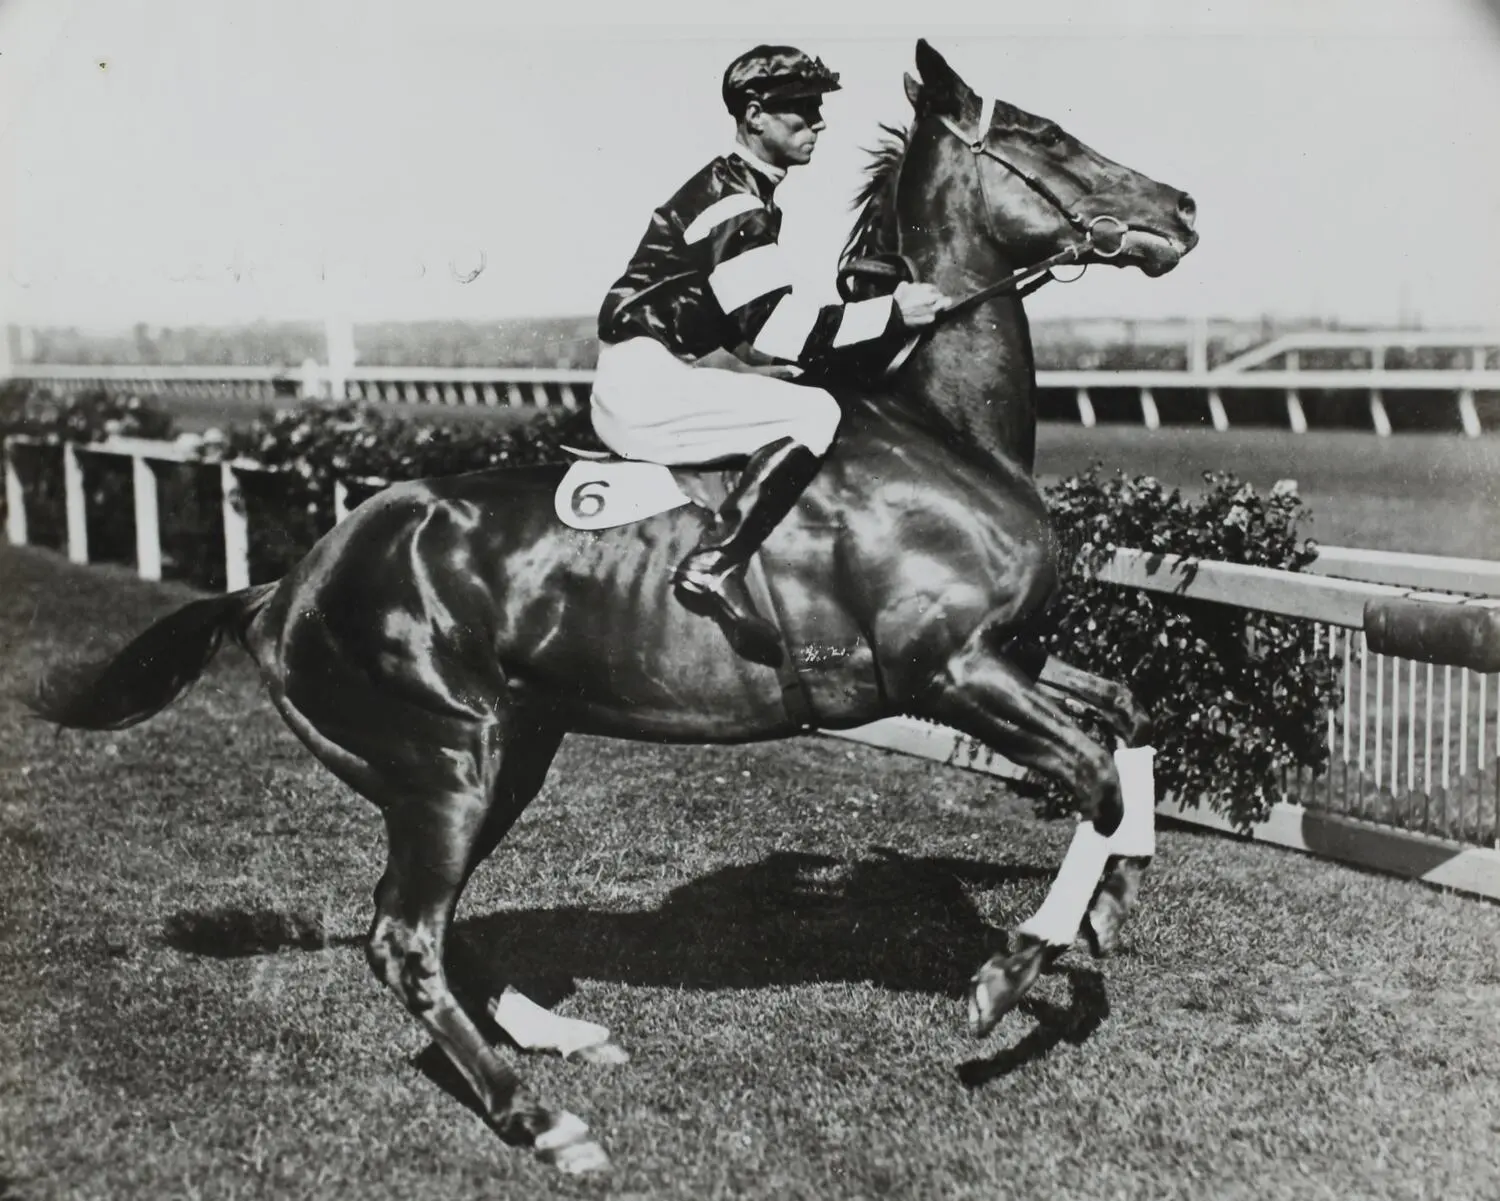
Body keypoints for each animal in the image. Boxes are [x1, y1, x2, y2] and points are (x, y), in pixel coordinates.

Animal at [35, 39, 1200, 1169]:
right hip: (448, 758)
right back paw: (538, 1119)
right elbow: (1094, 774)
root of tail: (284, 586)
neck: (944, 434)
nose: (1184, 207)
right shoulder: (947, 667)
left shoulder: (1006, 653)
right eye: (1046, 133)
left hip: (503, 751)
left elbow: (1129, 718)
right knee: (402, 936)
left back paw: (554, 1032)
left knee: (428, 922)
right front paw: (1015, 967)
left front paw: (1115, 899)